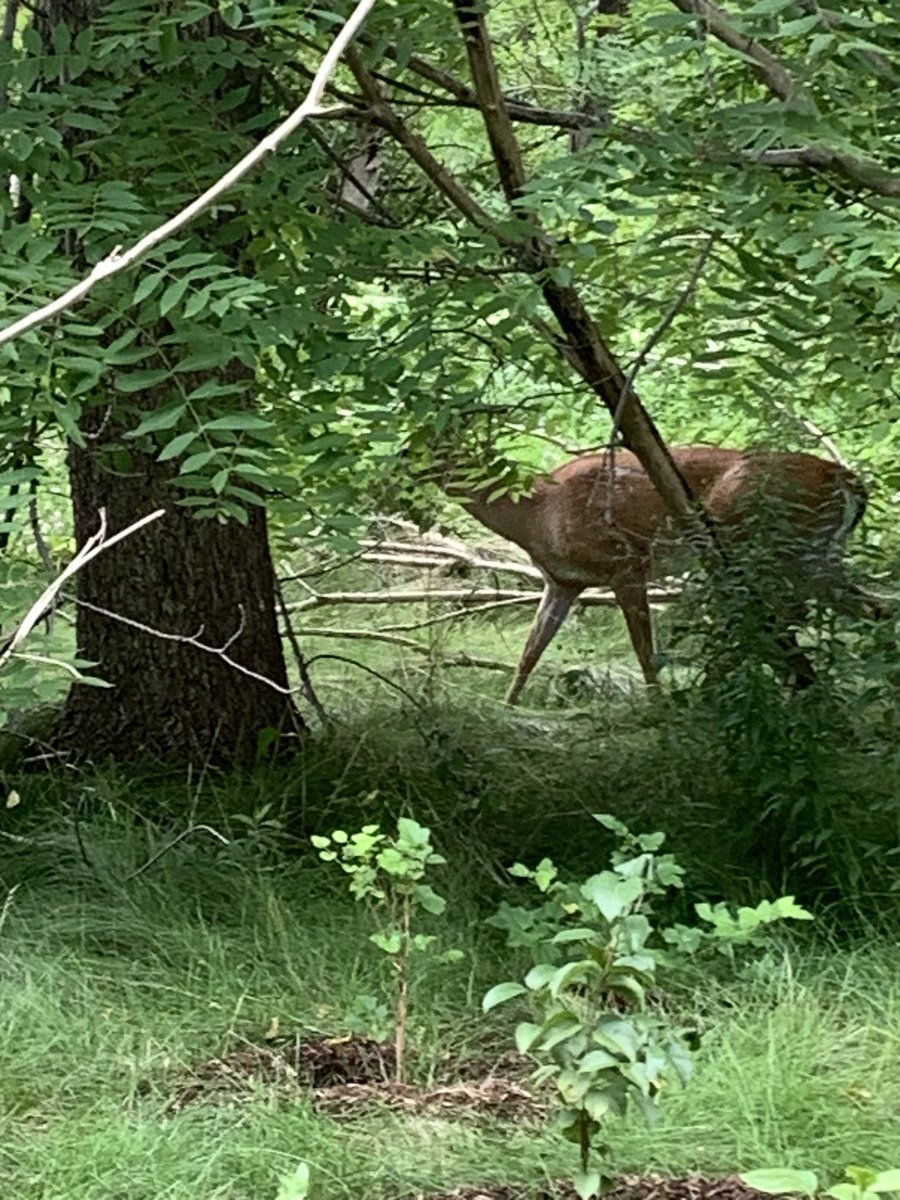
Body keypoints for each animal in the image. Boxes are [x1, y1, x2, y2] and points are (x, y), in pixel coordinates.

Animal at [434, 445, 883, 704]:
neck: (534, 514)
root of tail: (847, 480)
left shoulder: (626, 562)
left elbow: (644, 651)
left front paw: (657, 713)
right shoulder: (564, 581)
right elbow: (530, 653)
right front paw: (506, 708)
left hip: (762, 544)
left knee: (776, 619)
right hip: (813, 557)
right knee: (869, 608)